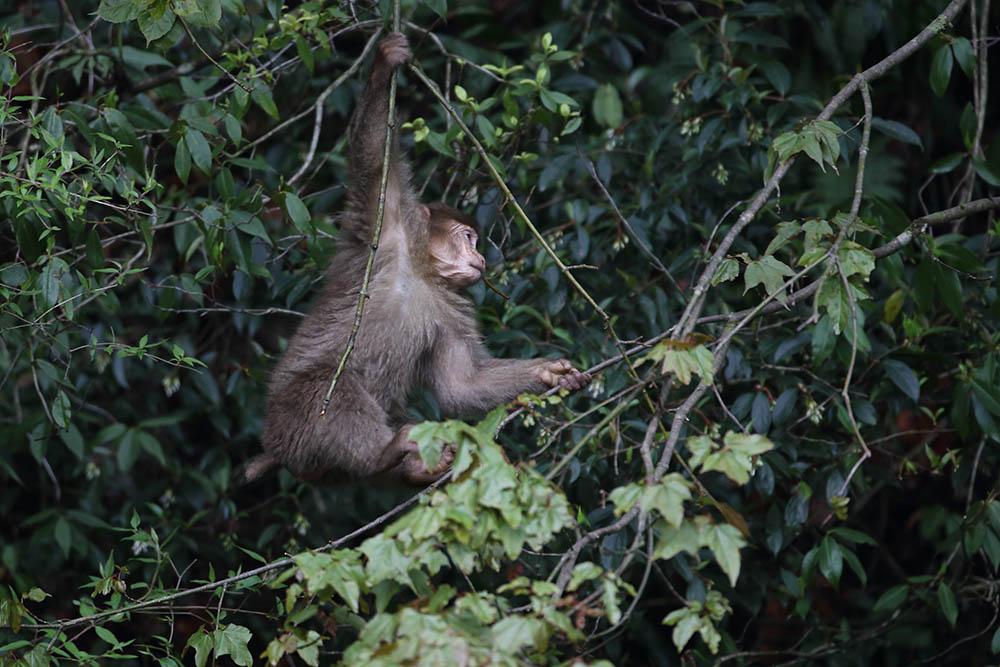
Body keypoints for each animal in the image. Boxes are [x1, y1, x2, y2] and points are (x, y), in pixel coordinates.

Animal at [239, 31, 588, 488]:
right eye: (468, 238)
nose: (480, 255)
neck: (421, 273)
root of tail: (274, 449)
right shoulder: (387, 235)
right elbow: (374, 162)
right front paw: (384, 64)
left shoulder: (451, 309)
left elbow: (462, 385)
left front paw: (548, 375)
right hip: (289, 420)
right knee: (327, 388)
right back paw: (382, 454)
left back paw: (413, 466)